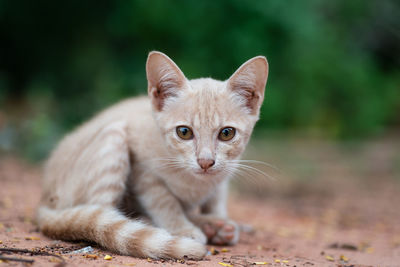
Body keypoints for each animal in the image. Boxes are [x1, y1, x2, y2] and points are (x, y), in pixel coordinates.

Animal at [36, 51, 268, 260]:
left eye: (227, 133)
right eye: (184, 132)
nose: (205, 162)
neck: (194, 183)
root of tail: (43, 200)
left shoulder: (224, 174)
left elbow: (216, 198)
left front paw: (217, 217)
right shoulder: (143, 170)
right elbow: (164, 202)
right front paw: (182, 228)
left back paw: (214, 225)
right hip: (113, 137)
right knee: (101, 215)